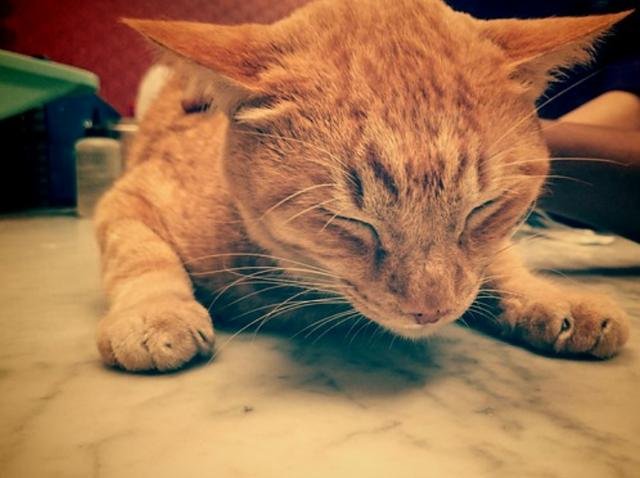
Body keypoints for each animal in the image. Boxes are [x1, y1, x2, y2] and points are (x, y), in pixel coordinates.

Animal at [95, 0, 631, 371]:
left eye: (484, 208)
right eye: (350, 220)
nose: (430, 310)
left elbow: (498, 262)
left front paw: (547, 297)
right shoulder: (132, 195)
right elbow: (140, 253)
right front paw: (155, 312)